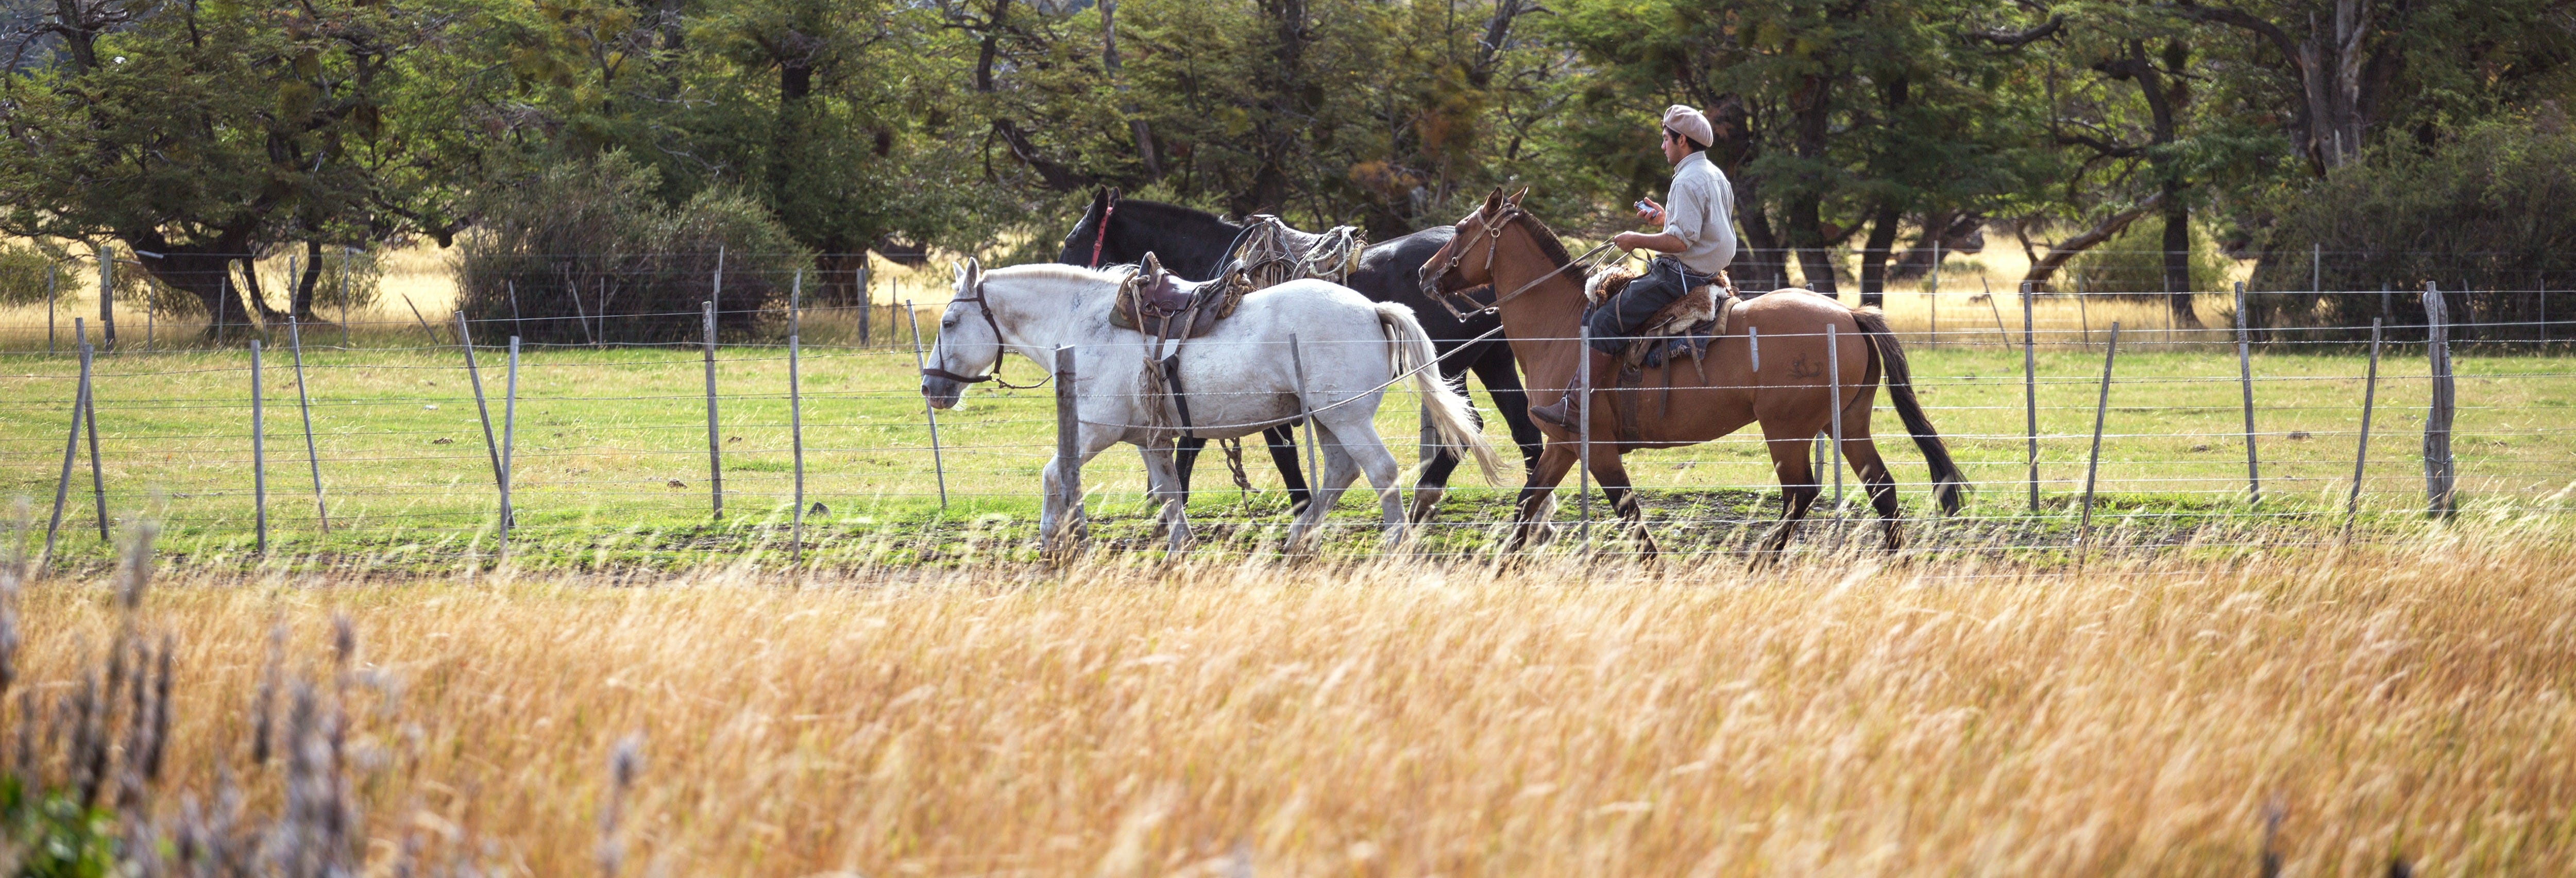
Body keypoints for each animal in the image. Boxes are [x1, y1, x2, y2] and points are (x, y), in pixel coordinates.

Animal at [927, 256, 1504, 551]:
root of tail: (1372, 308)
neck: (1083, 324)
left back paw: (1394, 544)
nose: (931, 387)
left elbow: (1054, 475)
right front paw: (1179, 546)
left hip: (1346, 417)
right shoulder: (1149, 441)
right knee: (1341, 471)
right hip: (1327, 420)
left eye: (949, 322)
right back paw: (1298, 536)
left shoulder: (1095, 428)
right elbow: (1167, 492)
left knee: (1380, 471)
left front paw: (1052, 542)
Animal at [1056, 189, 1535, 520]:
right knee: (1521, 428)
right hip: (1491, 363)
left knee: (1471, 428)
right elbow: (1196, 440)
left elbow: (1278, 454)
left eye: (1073, 239)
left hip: (1452, 366)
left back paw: (1430, 494)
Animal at [1422, 190, 1958, 553]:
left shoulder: (1597, 447)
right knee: (1880, 487)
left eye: (1460, 229)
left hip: (1786, 429)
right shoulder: (1563, 445)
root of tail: (1848, 314)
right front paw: (1504, 566)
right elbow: (1526, 504)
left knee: (1800, 494)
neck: (1562, 327)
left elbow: (1628, 513)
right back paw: (1897, 562)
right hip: (1847, 421)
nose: (1426, 274)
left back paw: (1760, 560)